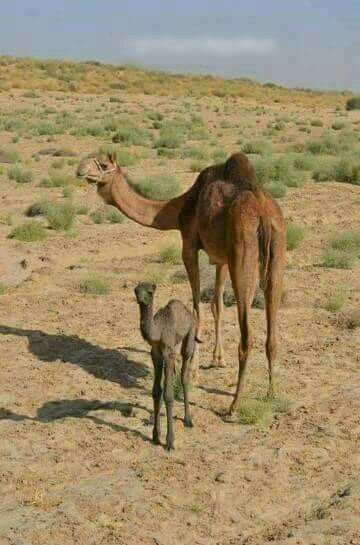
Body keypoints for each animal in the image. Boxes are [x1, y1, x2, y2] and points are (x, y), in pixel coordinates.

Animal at [77, 150, 286, 412]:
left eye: (103, 164)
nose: (80, 170)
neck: (179, 208)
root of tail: (263, 215)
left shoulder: (189, 245)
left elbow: (197, 309)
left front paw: (193, 372)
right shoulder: (221, 258)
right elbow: (217, 306)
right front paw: (217, 359)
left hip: (244, 254)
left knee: (247, 336)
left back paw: (234, 405)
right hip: (277, 253)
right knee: (272, 334)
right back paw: (272, 393)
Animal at [134, 282, 197, 448]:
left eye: (150, 292)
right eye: (136, 291)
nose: (141, 299)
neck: (158, 331)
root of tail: (188, 312)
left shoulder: (168, 353)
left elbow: (168, 394)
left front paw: (170, 441)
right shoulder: (155, 354)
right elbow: (156, 391)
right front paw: (156, 436)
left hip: (190, 333)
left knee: (184, 372)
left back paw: (188, 419)